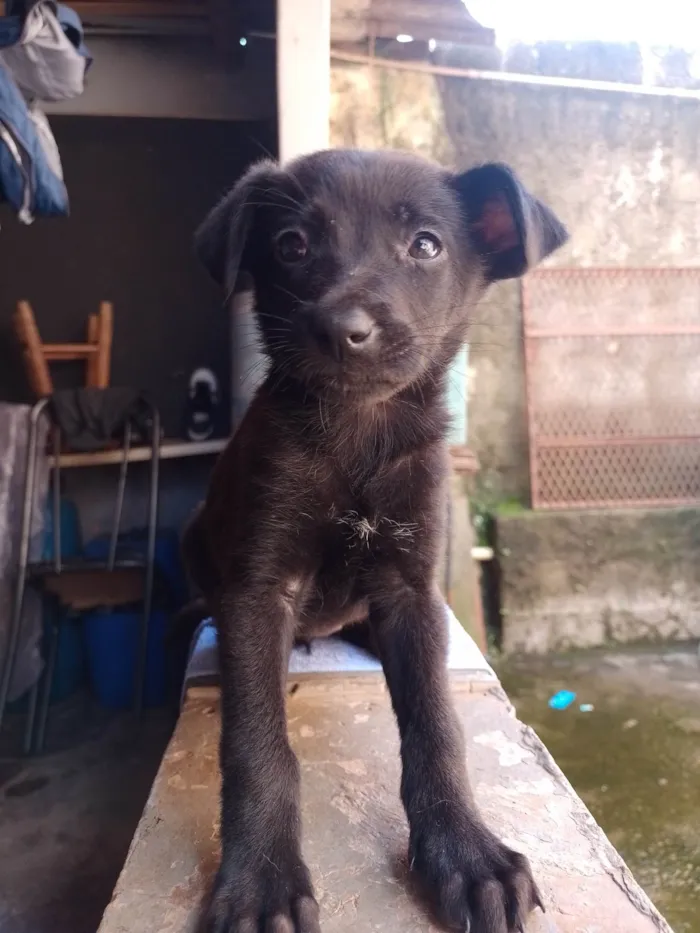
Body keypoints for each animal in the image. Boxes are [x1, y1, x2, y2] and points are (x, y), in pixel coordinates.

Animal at [187, 147, 568, 932]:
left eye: (425, 244)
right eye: (292, 245)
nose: (343, 328)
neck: (357, 434)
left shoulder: (411, 587)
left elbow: (436, 726)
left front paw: (465, 852)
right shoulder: (258, 589)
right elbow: (258, 744)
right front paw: (260, 879)